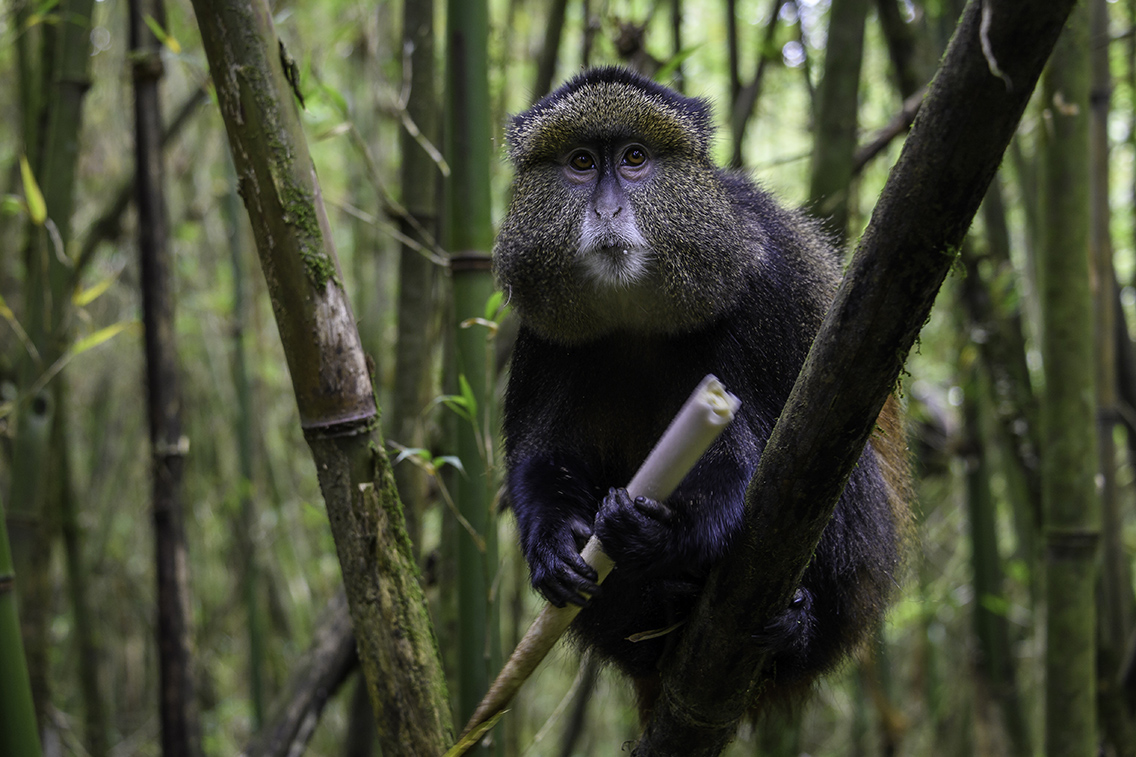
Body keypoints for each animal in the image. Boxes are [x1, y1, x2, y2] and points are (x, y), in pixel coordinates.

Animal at [493, 67, 910, 721]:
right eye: (581, 162)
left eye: (635, 158)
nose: (608, 208)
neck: (636, 313)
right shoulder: (543, 334)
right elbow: (542, 454)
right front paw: (555, 543)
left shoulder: (763, 287)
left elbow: (758, 469)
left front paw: (659, 535)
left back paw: (792, 630)